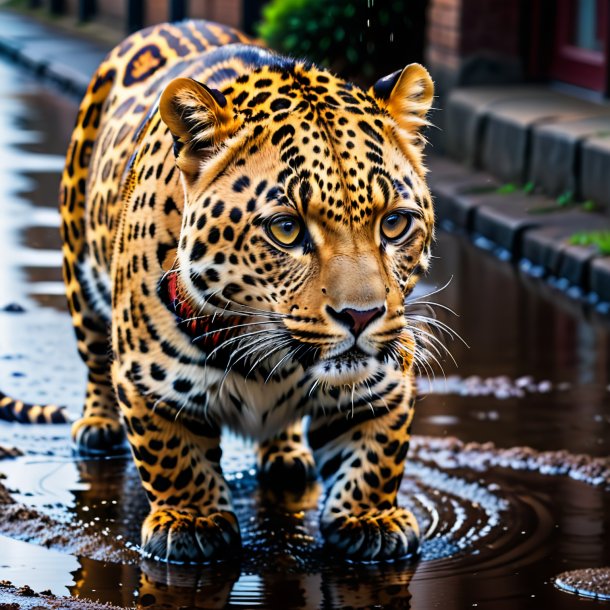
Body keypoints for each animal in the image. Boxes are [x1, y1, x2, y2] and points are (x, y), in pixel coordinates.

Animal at [25, 19, 436, 560]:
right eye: (286, 229)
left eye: (394, 224)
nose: (362, 316)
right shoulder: (148, 380)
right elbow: (172, 455)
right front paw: (192, 520)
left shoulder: (386, 376)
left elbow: (379, 449)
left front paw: (371, 517)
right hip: (77, 265)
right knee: (94, 356)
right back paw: (96, 426)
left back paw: (286, 453)